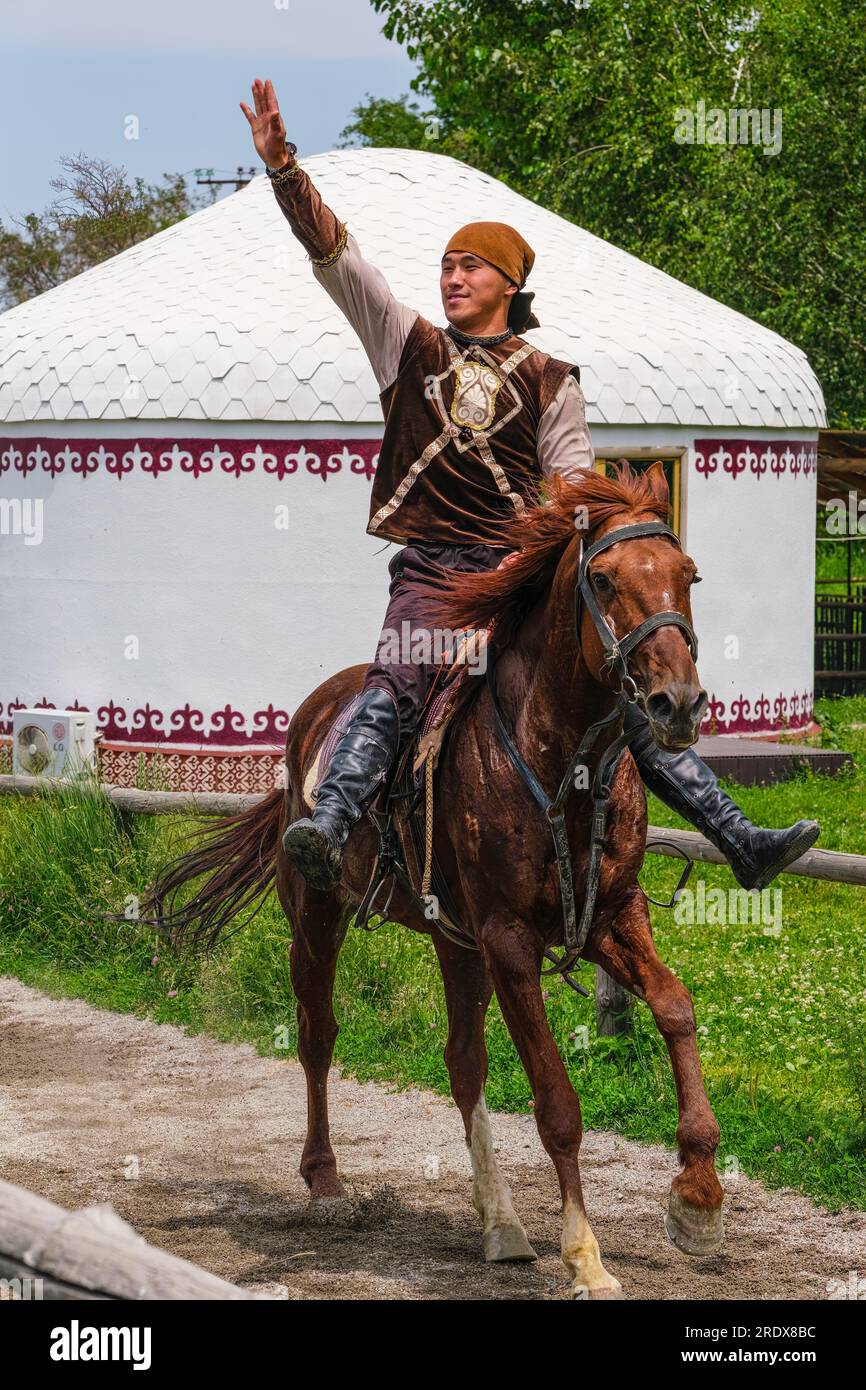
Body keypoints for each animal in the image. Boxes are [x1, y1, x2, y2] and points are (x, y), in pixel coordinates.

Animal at [154, 461, 722, 1295]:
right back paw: (327, 1183)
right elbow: (556, 1103)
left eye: (687, 575)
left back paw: (501, 1222)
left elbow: (676, 1008)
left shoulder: (611, 918)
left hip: (455, 943)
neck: (560, 759)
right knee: (318, 1037)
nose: (676, 703)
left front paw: (699, 1197)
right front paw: (585, 1256)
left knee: (462, 1063)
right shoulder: (512, 941)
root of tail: (312, 715)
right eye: (605, 578)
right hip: (316, 921)